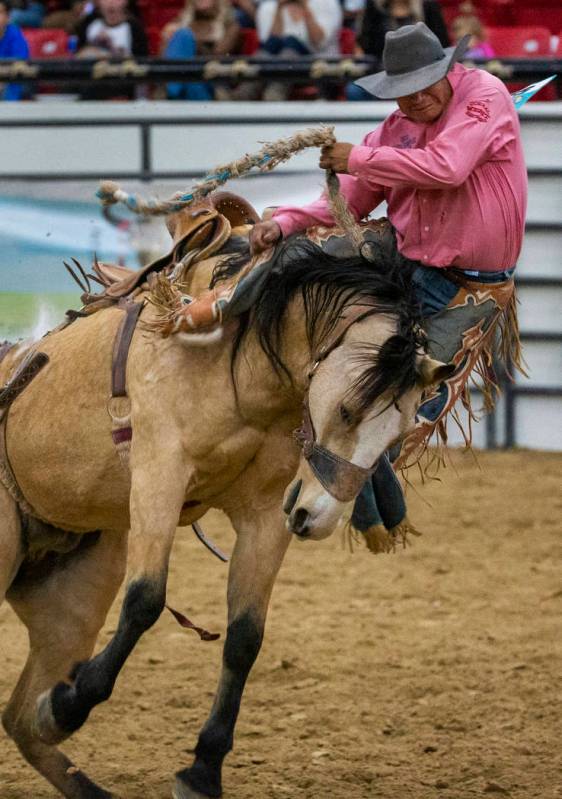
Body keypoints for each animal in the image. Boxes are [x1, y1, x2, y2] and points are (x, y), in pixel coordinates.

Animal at [0, 195, 448, 799]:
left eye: (400, 433)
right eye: (348, 409)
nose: (318, 518)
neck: (238, 359)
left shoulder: (265, 514)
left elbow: (244, 638)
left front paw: (202, 769)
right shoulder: (159, 475)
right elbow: (145, 601)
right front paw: (69, 707)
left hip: (70, 602)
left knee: (20, 719)